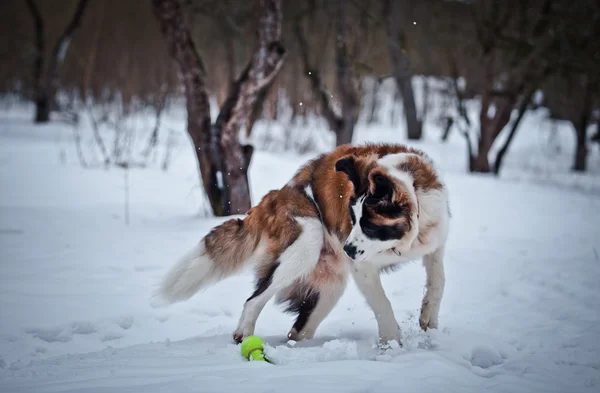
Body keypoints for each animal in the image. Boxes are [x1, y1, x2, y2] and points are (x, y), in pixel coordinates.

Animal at [157, 142, 448, 344]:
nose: (346, 249)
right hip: (307, 241)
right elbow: (382, 303)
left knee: (298, 331)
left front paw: (428, 319)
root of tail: (274, 195)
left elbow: (438, 280)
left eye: (368, 226)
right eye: (352, 219)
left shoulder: (435, 243)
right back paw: (244, 335)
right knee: (254, 300)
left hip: (329, 288)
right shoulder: (363, 267)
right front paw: (393, 345)